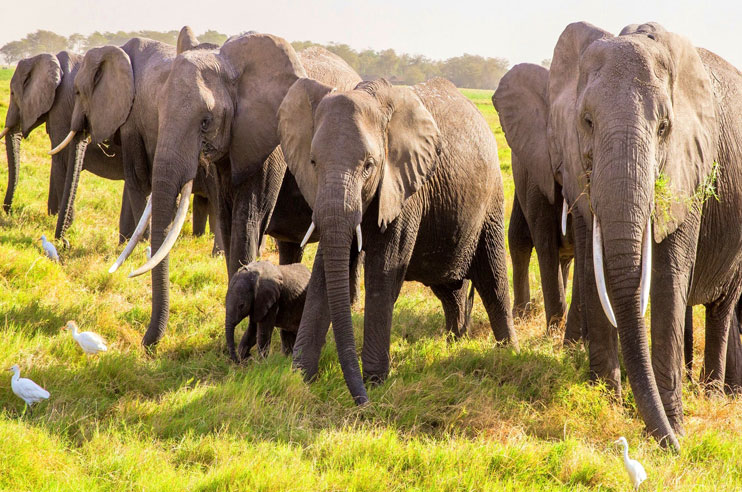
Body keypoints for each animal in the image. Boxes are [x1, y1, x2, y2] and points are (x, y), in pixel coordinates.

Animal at [1, 51, 135, 241]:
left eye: (12, 93)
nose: (9, 210)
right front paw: (52, 217)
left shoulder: (60, 108)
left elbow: (61, 159)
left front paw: (62, 226)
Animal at [50, 29, 224, 259]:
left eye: (78, 92)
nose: (64, 243)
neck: (117, 51)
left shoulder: (132, 121)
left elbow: (138, 178)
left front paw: (141, 246)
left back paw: (218, 254)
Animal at [278, 77, 516, 404]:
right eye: (312, 162)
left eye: (369, 165)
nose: (361, 402)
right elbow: (324, 274)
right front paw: (300, 378)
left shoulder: (405, 189)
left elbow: (382, 274)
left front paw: (376, 382)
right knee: (450, 288)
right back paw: (454, 342)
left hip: (491, 200)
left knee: (493, 281)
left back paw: (510, 355)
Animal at [492, 63, 582, 340]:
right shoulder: (537, 172)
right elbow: (544, 243)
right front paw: (555, 332)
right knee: (519, 238)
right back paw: (522, 315)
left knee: (566, 255)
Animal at [547, 21, 742, 449]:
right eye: (587, 121)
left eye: (664, 128)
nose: (677, 449)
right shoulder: (576, 167)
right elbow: (594, 272)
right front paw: (604, 403)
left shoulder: (689, 168)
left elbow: (669, 278)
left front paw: (674, 429)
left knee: (721, 309)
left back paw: (711, 395)